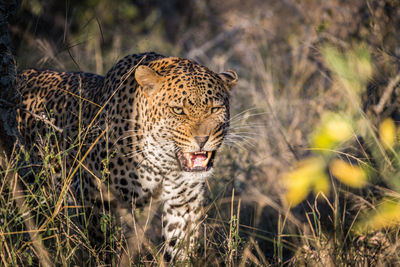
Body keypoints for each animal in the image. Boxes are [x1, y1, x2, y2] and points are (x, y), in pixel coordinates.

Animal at [16, 52, 238, 264]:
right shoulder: (96, 198)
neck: (163, 164)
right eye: (178, 110)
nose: (202, 139)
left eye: (215, 109)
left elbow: (180, 248)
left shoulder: (184, 205)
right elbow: (102, 246)